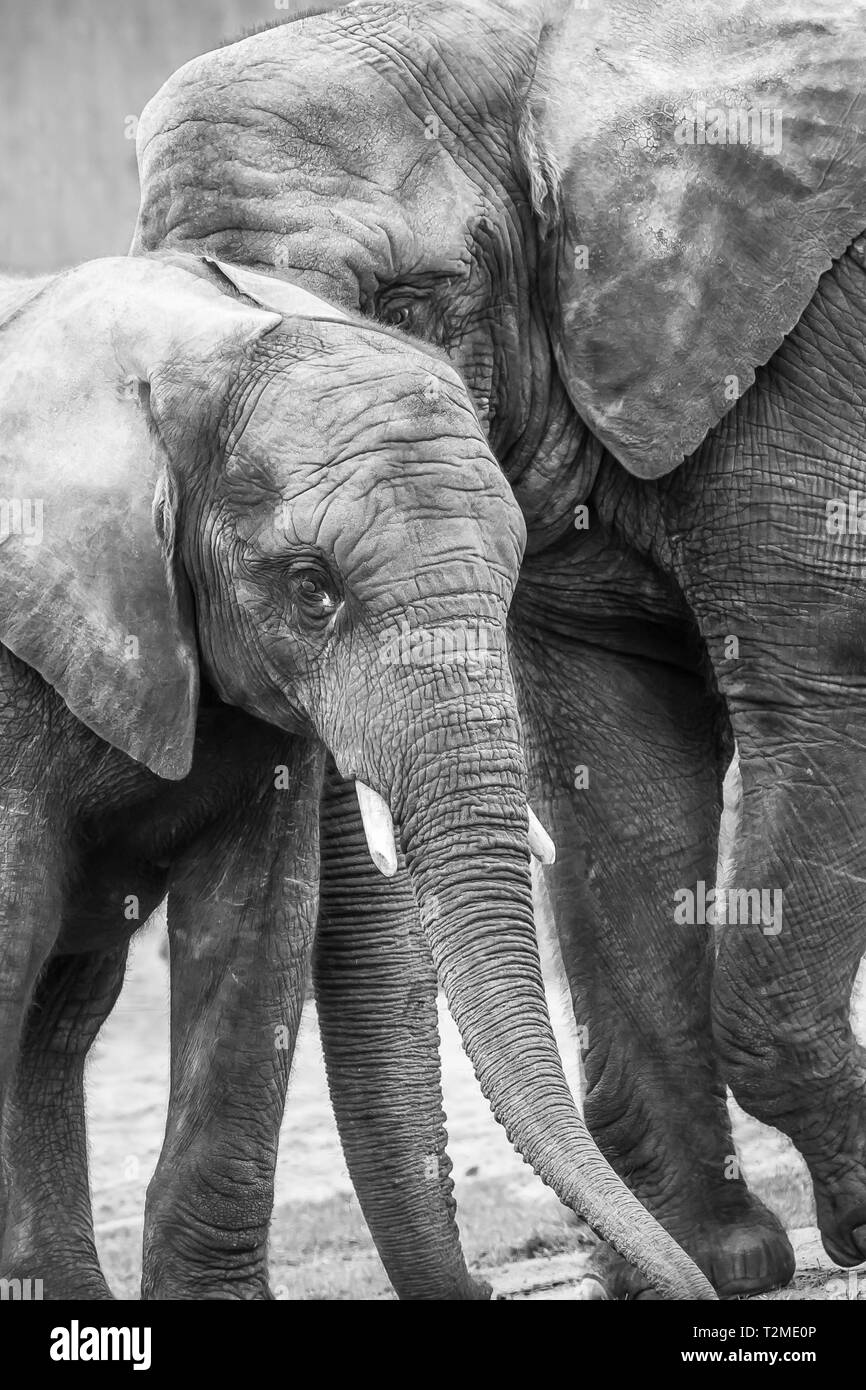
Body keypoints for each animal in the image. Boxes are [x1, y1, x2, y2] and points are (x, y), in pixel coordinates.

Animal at [125, 0, 866, 1295]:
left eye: (404, 301)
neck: (503, 53)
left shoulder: (798, 346)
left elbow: (816, 680)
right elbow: (618, 765)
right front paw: (711, 1261)